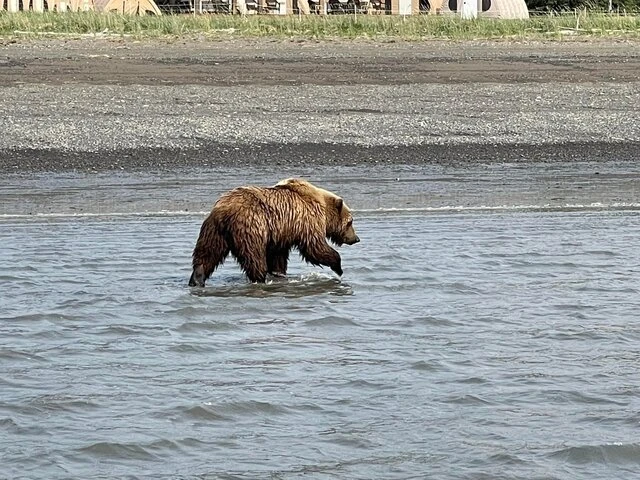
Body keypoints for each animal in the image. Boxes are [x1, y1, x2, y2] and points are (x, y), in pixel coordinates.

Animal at [188, 178, 360, 287]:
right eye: (350, 222)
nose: (356, 238)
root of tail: (224, 210)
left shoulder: (281, 232)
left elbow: (278, 256)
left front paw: (279, 274)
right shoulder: (307, 221)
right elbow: (315, 248)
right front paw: (338, 268)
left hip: (214, 230)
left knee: (207, 254)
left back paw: (197, 279)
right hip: (251, 227)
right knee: (254, 257)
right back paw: (260, 280)